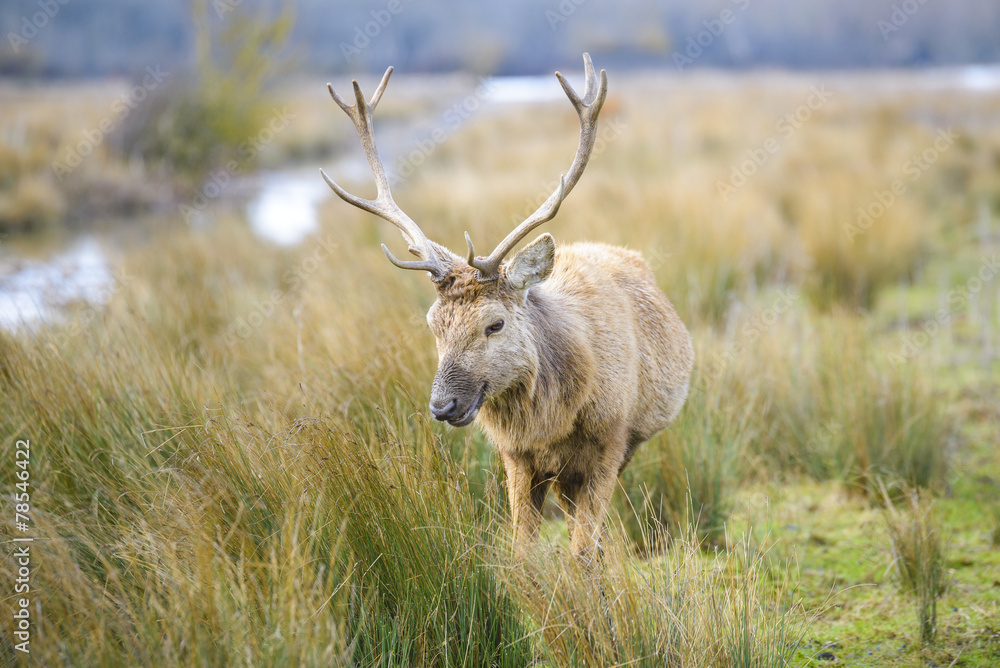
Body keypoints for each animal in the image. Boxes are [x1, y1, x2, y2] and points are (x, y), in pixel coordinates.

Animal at [322, 53, 696, 564]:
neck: (554, 418)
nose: (442, 405)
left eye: (494, 323)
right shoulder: (516, 457)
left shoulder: (610, 441)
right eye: (433, 325)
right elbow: (522, 550)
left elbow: (583, 551)